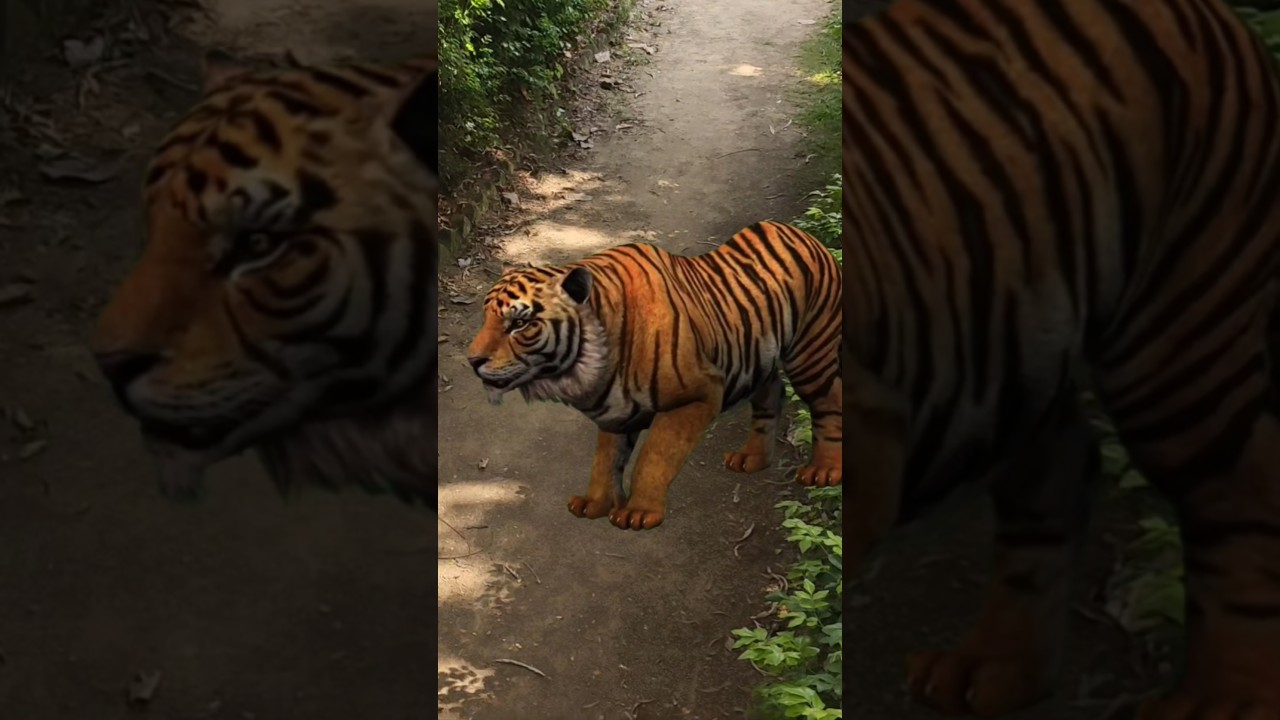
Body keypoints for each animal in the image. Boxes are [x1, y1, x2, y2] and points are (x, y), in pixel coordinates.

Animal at [465, 221, 842, 530]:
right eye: (486, 317)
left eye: (520, 323)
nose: (472, 361)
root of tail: (803, 234)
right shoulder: (615, 412)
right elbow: (605, 461)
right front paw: (595, 504)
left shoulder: (698, 395)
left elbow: (654, 457)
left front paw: (638, 513)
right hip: (759, 357)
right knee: (772, 391)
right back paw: (751, 459)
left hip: (810, 353)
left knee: (829, 399)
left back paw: (824, 471)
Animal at [841, 0, 1280, 717]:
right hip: (1007, 340)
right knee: (1062, 463)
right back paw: (996, 664)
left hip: (1180, 333)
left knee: (1242, 484)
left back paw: (1226, 699)